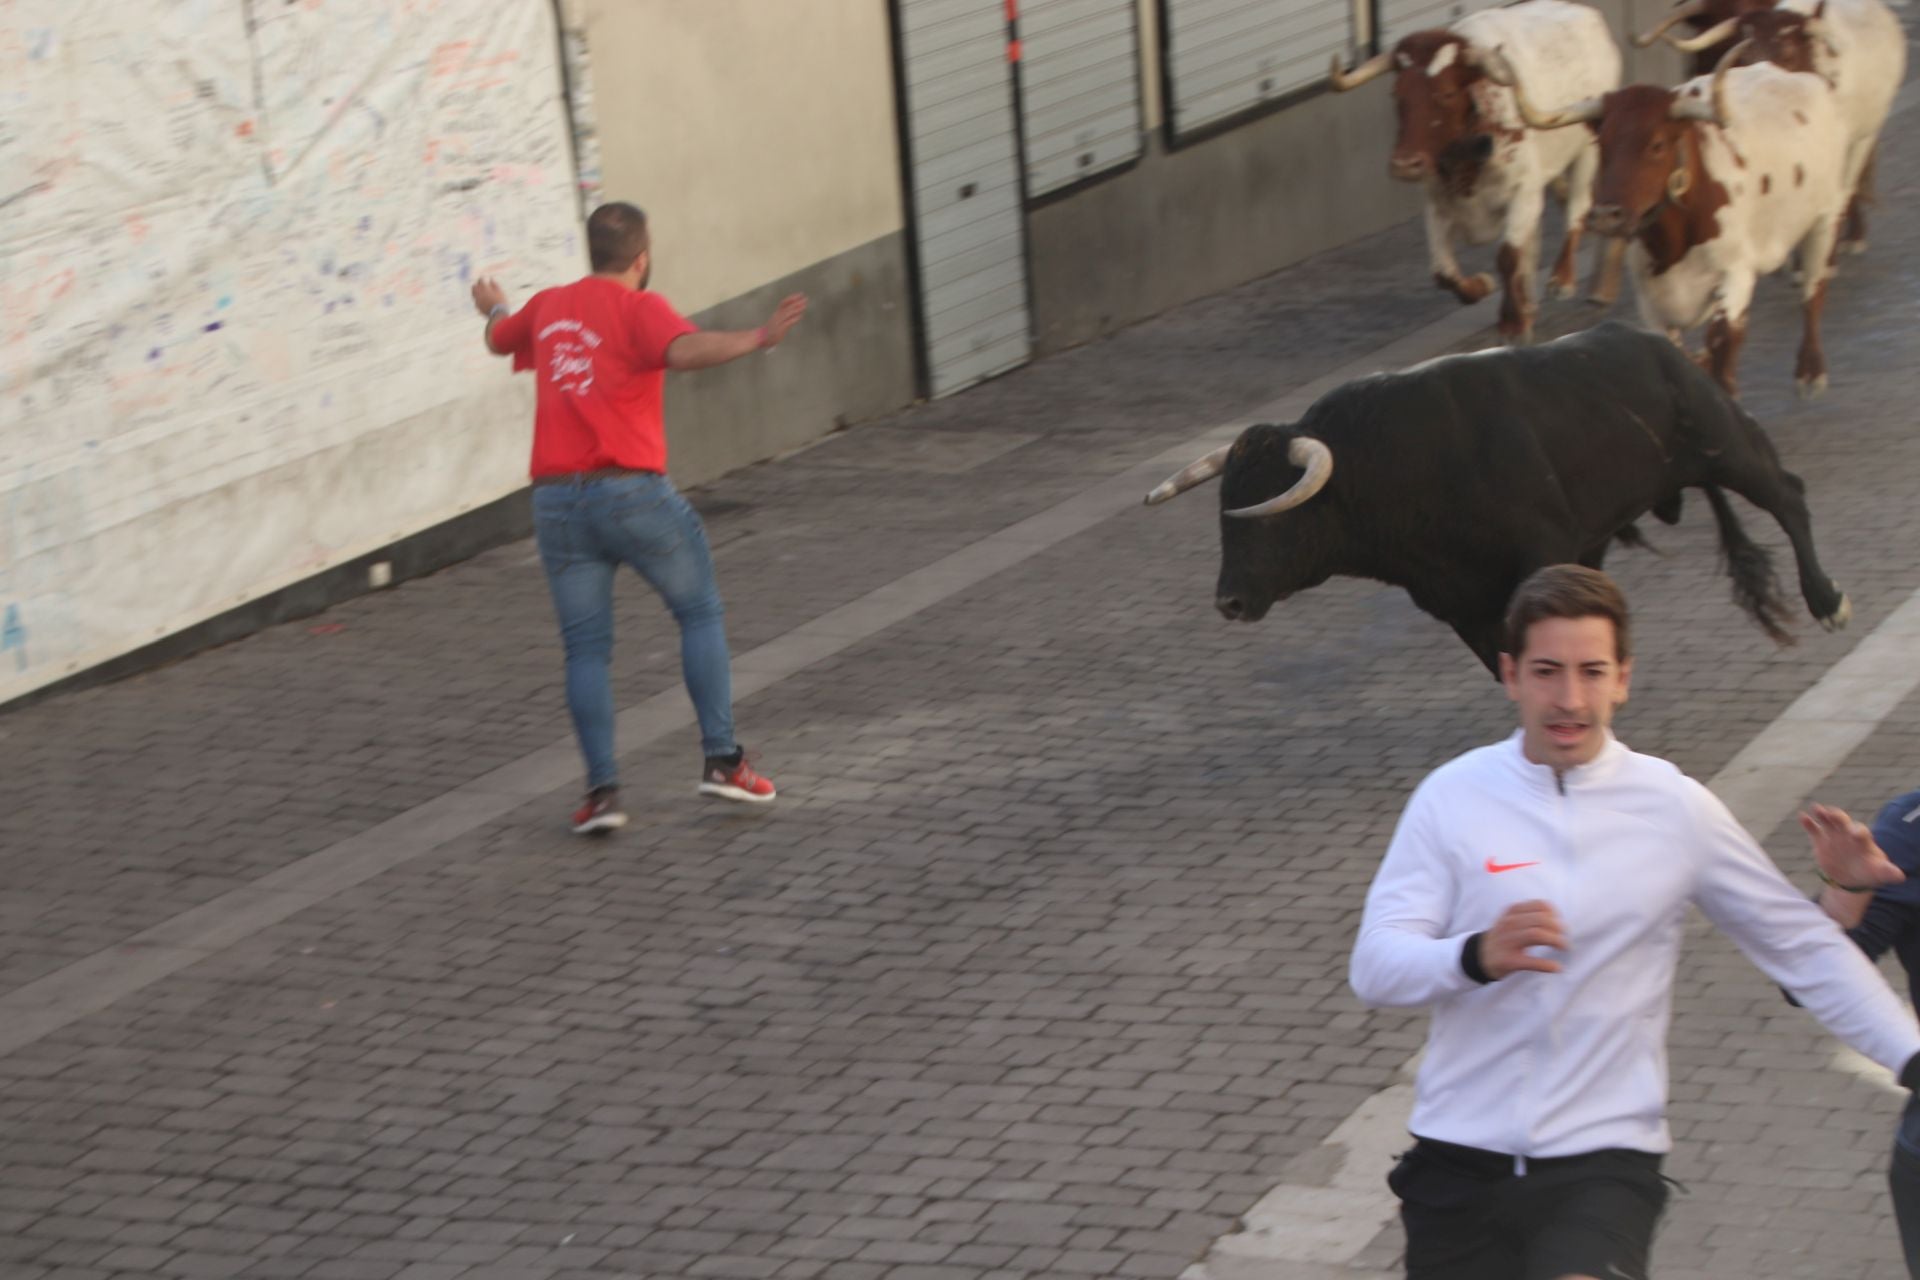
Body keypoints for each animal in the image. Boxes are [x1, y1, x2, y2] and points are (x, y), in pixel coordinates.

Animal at [1144, 326, 1850, 675]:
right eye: (1225, 514)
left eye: (1269, 516)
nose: (1229, 602)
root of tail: (1658, 344)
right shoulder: (1461, 603)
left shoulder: (1539, 556)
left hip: (1723, 440)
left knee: (1788, 494)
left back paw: (1828, 602)